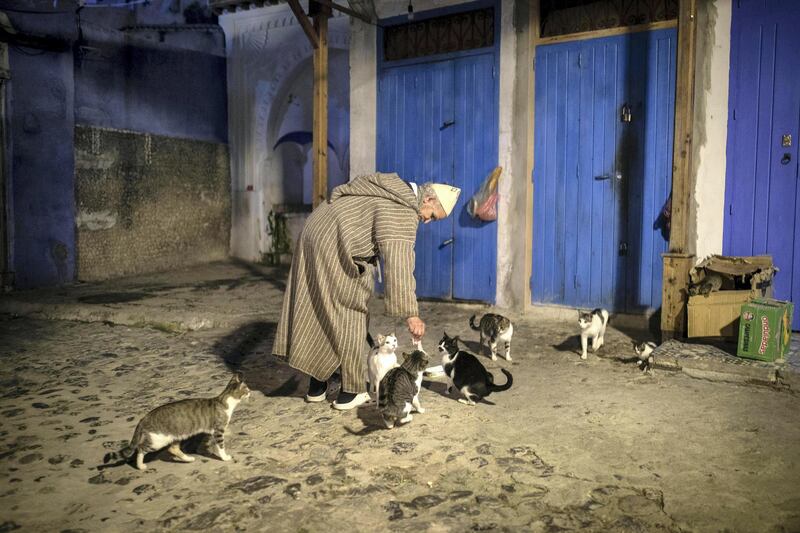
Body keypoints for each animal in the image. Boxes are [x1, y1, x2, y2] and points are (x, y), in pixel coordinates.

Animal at [104, 370, 250, 470]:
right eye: (247, 390)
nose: (251, 392)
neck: (225, 402)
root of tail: (144, 418)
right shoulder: (218, 431)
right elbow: (221, 447)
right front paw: (225, 457)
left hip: (176, 435)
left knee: (172, 449)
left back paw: (188, 459)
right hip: (158, 440)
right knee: (140, 448)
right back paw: (140, 466)